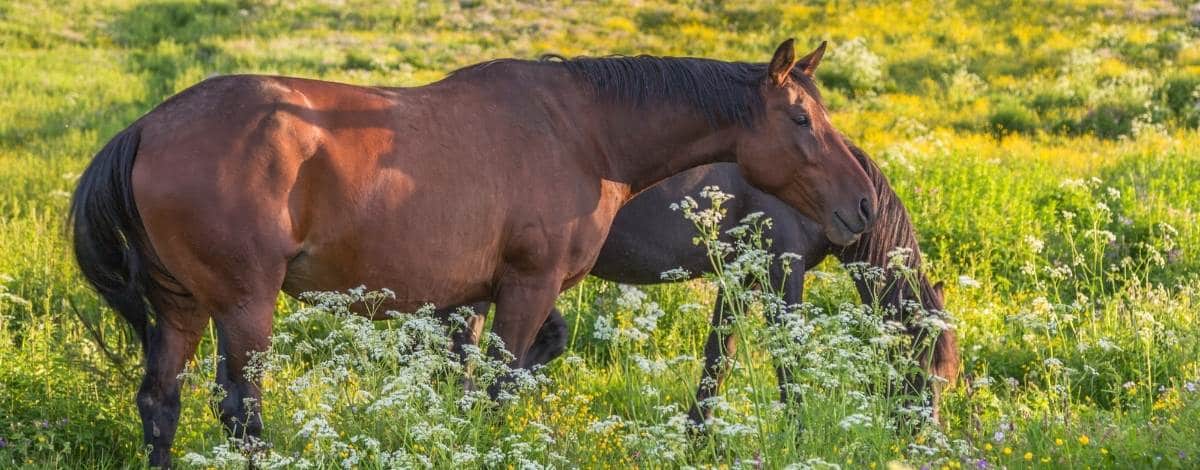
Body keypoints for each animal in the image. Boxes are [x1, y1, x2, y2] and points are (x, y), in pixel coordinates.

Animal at [70, 39, 878, 465]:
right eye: (802, 119)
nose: (864, 202)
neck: (583, 131)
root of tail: (146, 127)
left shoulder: (473, 298)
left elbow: (479, 379)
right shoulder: (528, 285)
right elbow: (499, 386)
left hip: (181, 306)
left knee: (161, 399)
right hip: (244, 306)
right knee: (241, 408)